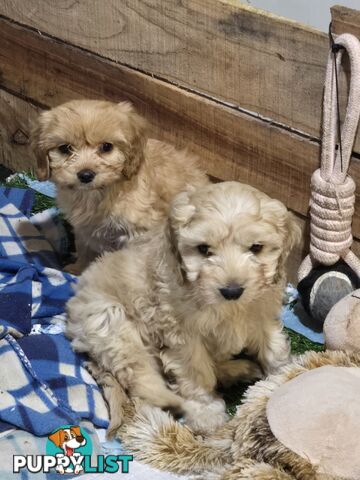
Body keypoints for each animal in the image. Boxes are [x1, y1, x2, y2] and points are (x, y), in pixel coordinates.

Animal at [33, 99, 208, 272]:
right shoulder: (83, 229)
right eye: (65, 148)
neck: (97, 194)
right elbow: (84, 250)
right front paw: (78, 269)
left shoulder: (139, 233)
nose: (86, 175)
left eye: (106, 147)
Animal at [66, 182, 300, 434]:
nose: (232, 290)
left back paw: (239, 369)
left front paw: (284, 380)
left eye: (256, 247)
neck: (230, 309)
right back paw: (175, 402)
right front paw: (205, 412)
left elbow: (274, 348)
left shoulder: (261, 314)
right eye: (203, 249)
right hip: (111, 323)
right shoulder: (182, 335)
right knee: (141, 378)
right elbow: (197, 372)